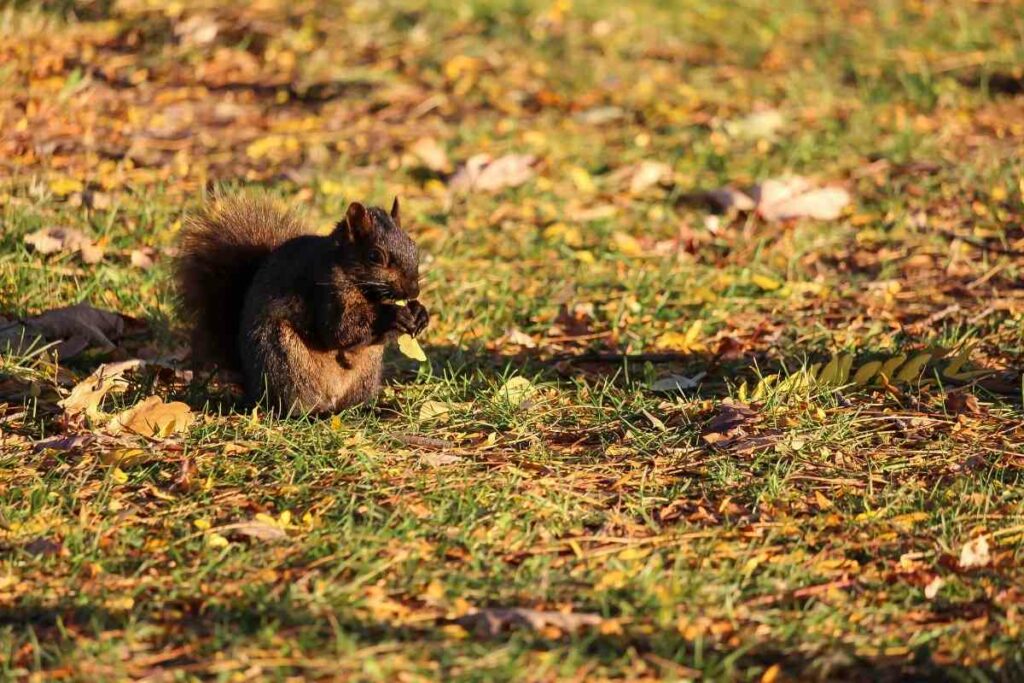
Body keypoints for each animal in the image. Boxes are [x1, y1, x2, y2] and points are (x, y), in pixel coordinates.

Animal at [174, 193, 429, 414]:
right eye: (375, 256)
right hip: (284, 361)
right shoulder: (325, 292)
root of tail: (253, 390)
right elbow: (340, 329)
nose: (413, 290)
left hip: (366, 372)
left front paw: (420, 314)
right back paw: (315, 413)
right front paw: (395, 314)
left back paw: (371, 410)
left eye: (413, 245)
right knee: (292, 407)